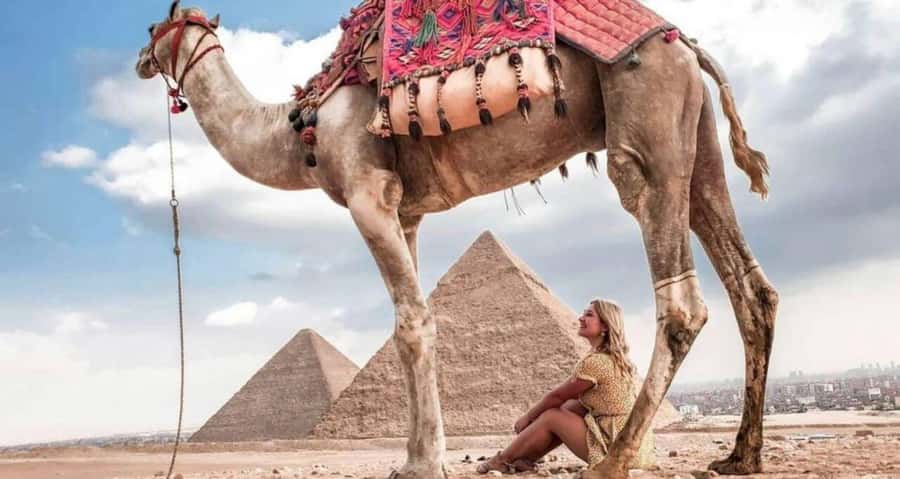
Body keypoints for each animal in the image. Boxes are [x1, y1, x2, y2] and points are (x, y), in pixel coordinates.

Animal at [136, 2, 779, 477]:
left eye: (152, 28)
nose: (142, 60)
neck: (302, 127)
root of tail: (685, 42)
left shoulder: (368, 192)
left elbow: (412, 324)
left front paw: (421, 464)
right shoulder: (406, 211)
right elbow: (416, 320)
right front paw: (423, 455)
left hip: (645, 113)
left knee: (680, 295)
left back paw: (615, 461)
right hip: (695, 136)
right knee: (750, 285)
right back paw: (740, 456)